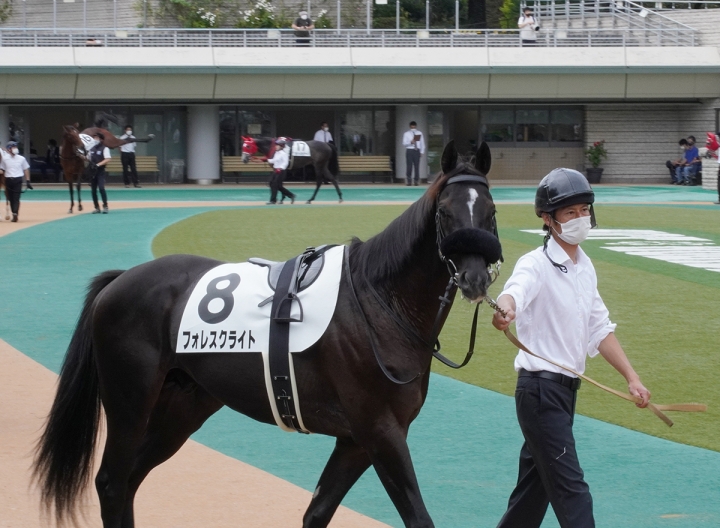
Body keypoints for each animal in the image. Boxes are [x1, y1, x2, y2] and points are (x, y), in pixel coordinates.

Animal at [33, 141, 504, 528]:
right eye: (445, 212)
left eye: (491, 212)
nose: (475, 278)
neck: (377, 301)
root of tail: (119, 280)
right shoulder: (380, 431)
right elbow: (418, 518)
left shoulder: (354, 440)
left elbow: (316, 512)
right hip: (129, 400)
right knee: (112, 483)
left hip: (183, 406)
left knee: (130, 480)